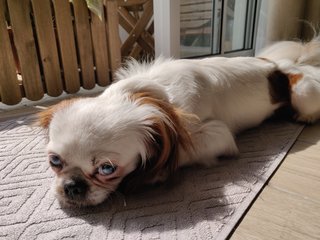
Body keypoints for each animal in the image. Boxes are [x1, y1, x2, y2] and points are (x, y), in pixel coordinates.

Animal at [37, 37, 320, 206]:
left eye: (107, 169)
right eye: (54, 161)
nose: (72, 187)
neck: (152, 95)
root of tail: (279, 65)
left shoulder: (219, 135)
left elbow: (181, 152)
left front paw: (155, 174)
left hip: (303, 92)